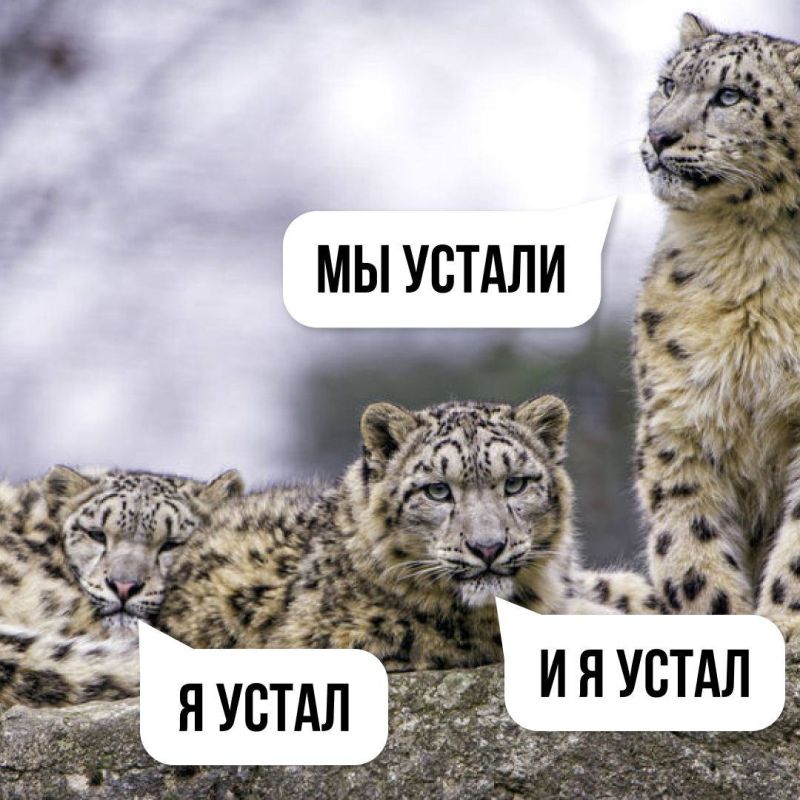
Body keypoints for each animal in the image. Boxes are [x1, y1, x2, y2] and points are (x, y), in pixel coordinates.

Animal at [635, 13, 800, 636]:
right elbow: (689, 541)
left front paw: (783, 628)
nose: (659, 136)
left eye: (730, 96)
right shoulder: (680, 419)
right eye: (667, 85)